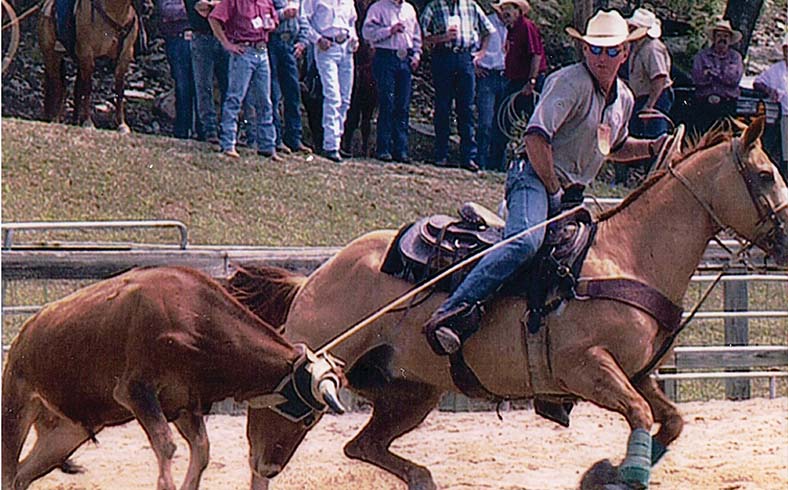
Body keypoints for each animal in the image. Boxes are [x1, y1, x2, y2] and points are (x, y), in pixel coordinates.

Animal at [37, 0, 140, 131]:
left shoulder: (125, 55)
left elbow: (119, 89)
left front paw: (122, 124)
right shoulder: (87, 54)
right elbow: (87, 88)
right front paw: (88, 122)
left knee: (73, 88)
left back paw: (73, 121)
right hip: (52, 57)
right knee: (58, 86)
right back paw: (55, 118)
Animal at [235, 118, 788, 490]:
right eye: (764, 175)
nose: (786, 241)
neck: (629, 255)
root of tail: (316, 276)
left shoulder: (638, 372)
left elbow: (669, 420)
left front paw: (605, 472)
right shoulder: (586, 368)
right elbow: (636, 413)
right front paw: (620, 474)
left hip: (410, 393)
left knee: (360, 445)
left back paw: (422, 477)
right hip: (308, 382)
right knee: (266, 448)